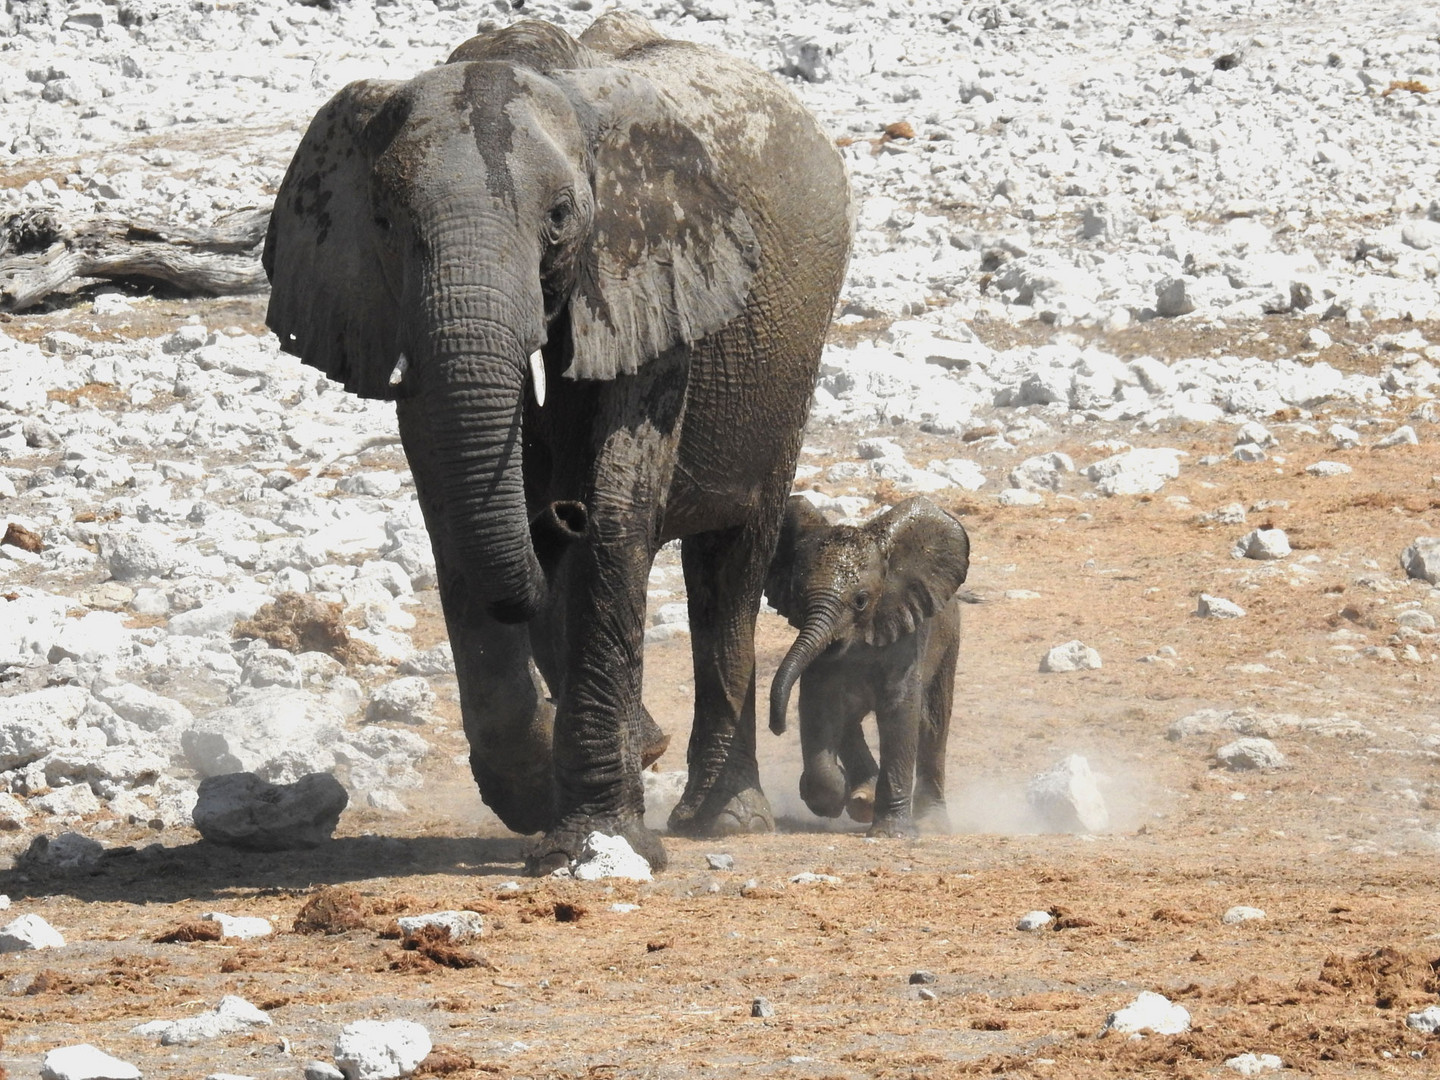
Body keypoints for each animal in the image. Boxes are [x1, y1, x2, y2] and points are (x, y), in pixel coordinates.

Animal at [262, 12, 852, 875]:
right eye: (385, 224)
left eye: (562, 217)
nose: (557, 516)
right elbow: (448, 501)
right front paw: (542, 794)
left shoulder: (651, 269)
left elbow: (619, 502)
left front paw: (596, 842)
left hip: (789, 366)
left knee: (730, 567)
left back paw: (725, 819)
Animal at [766, 498, 979, 835]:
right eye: (798, 596)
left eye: (861, 601)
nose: (776, 727)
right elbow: (818, 704)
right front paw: (830, 795)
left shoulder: (909, 636)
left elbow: (900, 711)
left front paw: (891, 833)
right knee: (850, 721)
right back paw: (862, 799)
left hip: (949, 638)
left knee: (933, 726)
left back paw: (930, 822)